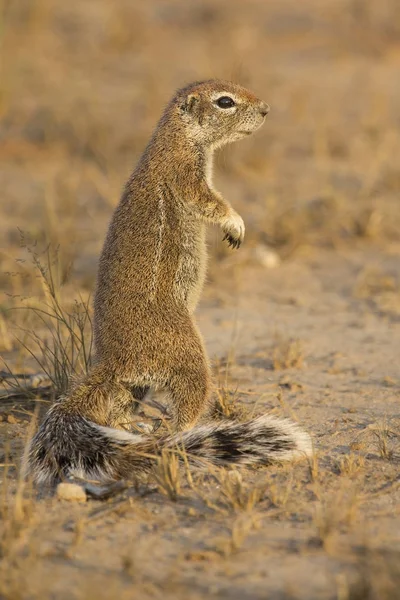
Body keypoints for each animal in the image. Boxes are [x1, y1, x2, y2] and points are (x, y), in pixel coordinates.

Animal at [26, 79, 312, 482]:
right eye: (225, 101)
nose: (267, 109)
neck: (176, 137)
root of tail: (113, 364)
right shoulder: (184, 176)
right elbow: (210, 202)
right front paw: (235, 224)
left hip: (135, 385)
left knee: (119, 407)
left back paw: (136, 427)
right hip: (188, 355)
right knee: (185, 409)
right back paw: (183, 432)